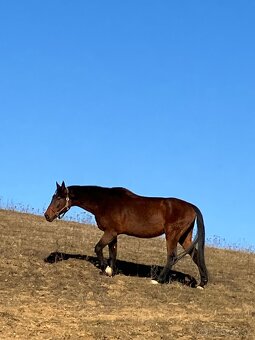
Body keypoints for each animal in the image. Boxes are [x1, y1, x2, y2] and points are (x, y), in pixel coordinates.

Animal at [44, 182, 207, 288]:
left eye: (59, 198)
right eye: (53, 196)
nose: (47, 215)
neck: (104, 202)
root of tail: (192, 207)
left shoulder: (110, 232)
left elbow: (98, 248)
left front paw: (106, 269)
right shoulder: (113, 234)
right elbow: (113, 252)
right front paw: (111, 271)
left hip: (172, 235)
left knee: (171, 256)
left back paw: (158, 280)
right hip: (184, 237)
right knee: (196, 255)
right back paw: (202, 283)